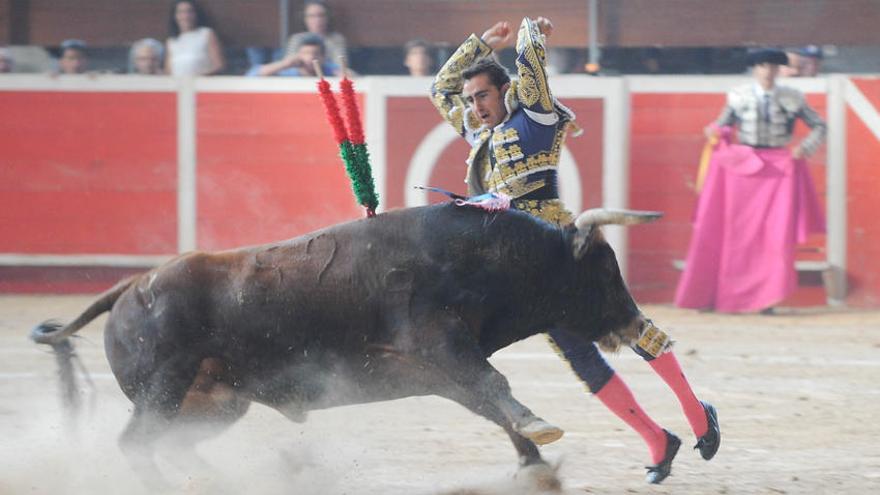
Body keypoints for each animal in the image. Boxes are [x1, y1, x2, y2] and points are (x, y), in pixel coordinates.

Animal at [31, 202, 656, 488]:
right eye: (604, 270)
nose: (634, 322)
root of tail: (130, 287)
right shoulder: (436, 342)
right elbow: (494, 383)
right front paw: (540, 432)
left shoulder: (438, 372)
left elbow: (491, 404)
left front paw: (536, 463)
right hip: (163, 389)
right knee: (136, 444)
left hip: (214, 402)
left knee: (175, 444)